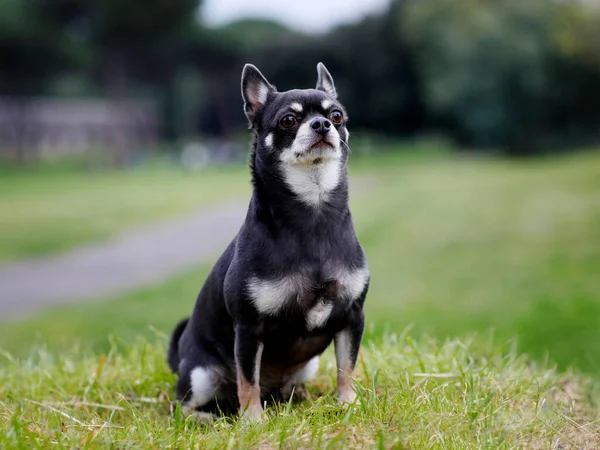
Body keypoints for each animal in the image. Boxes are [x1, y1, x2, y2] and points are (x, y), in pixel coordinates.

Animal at [166, 61, 368, 420]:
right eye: (288, 120)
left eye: (337, 116)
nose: (322, 124)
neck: (313, 209)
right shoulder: (248, 328)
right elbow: (248, 381)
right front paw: (252, 421)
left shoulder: (352, 318)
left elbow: (347, 368)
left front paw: (348, 403)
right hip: (201, 375)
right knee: (183, 405)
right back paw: (208, 417)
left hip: (307, 366)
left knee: (284, 387)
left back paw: (299, 396)